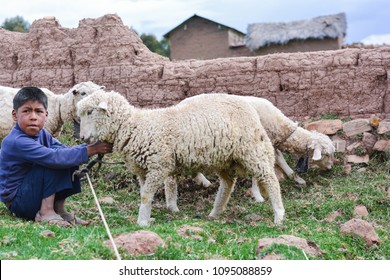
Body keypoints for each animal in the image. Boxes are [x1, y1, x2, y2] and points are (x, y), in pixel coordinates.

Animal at [77, 91, 284, 226]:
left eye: (90, 112)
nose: (82, 138)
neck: (135, 126)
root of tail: (247, 105)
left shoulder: (158, 166)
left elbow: (145, 195)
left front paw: (142, 222)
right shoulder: (143, 170)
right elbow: (145, 194)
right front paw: (147, 217)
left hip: (253, 149)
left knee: (270, 179)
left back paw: (279, 215)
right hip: (225, 158)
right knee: (227, 184)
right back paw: (215, 212)